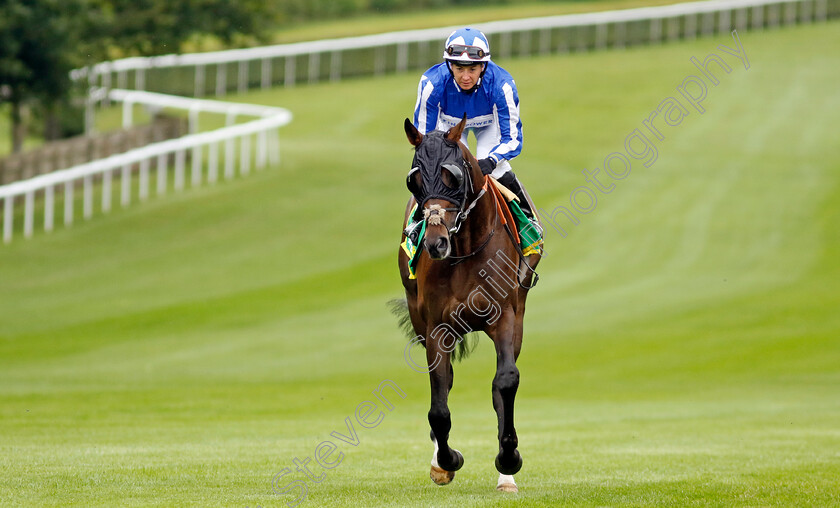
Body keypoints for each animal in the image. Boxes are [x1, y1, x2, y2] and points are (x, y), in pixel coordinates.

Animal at [392, 116, 540, 492]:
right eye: (414, 178)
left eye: (453, 176)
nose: (435, 242)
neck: (467, 249)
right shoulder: (436, 328)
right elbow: (439, 405)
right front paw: (447, 462)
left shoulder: (504, 316)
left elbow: (505, 381)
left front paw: (509, 459)